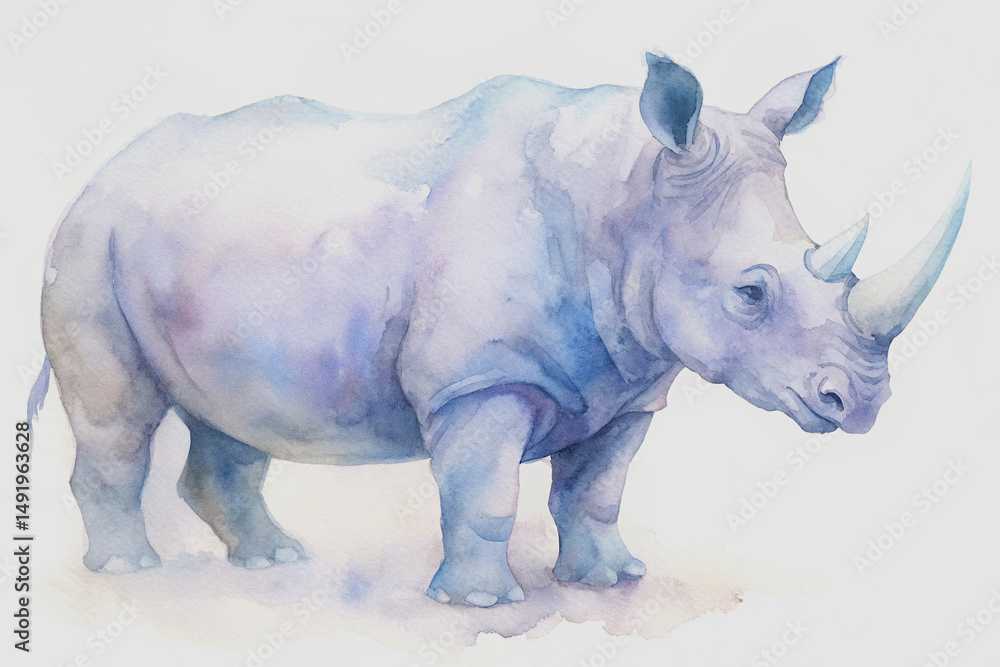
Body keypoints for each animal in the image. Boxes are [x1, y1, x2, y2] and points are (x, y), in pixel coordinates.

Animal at [29, 53, 971, 607]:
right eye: (751, 293)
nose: (862, 401)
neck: (627, 198)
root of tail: (102, 171)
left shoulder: (630, 381)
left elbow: (595, 490)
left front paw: (609, 582)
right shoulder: (481, 377)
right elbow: (484, 493)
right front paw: (481, 605)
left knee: (233, 417)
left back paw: (273, 563)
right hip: (88, 245)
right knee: (119, 418)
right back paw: (133, 572)